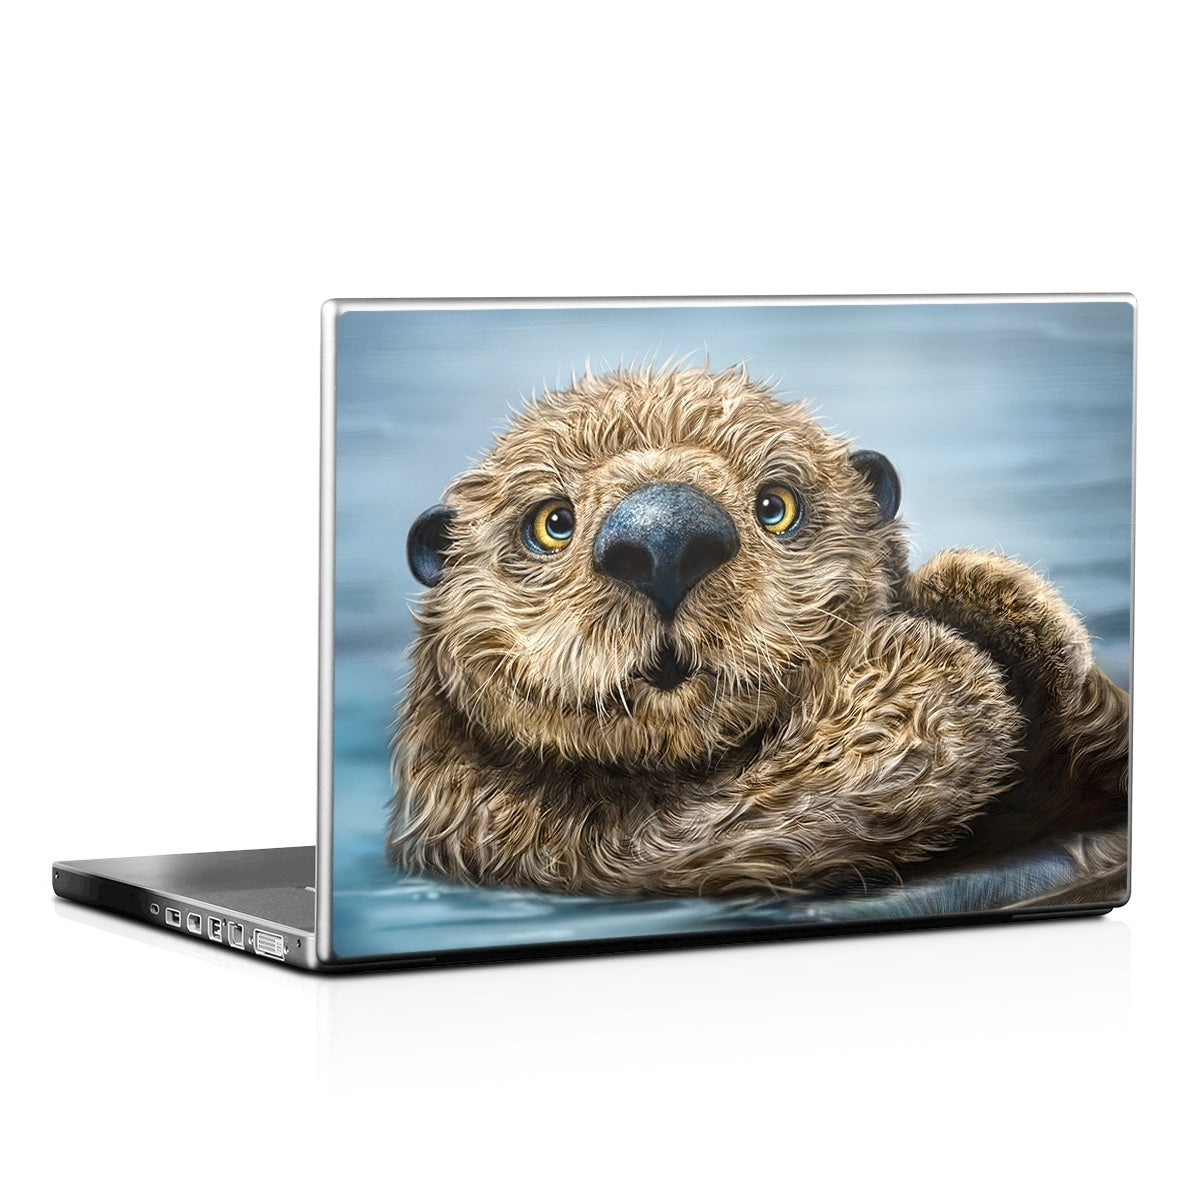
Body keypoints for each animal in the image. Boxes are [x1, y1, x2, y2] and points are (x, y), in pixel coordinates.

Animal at [388, 364, 1128, 899]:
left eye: (776, 506)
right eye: (551, 523)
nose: (665, 539)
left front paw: (982, 591)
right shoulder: (566, 840)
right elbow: (773, 813)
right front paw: (935, 662)